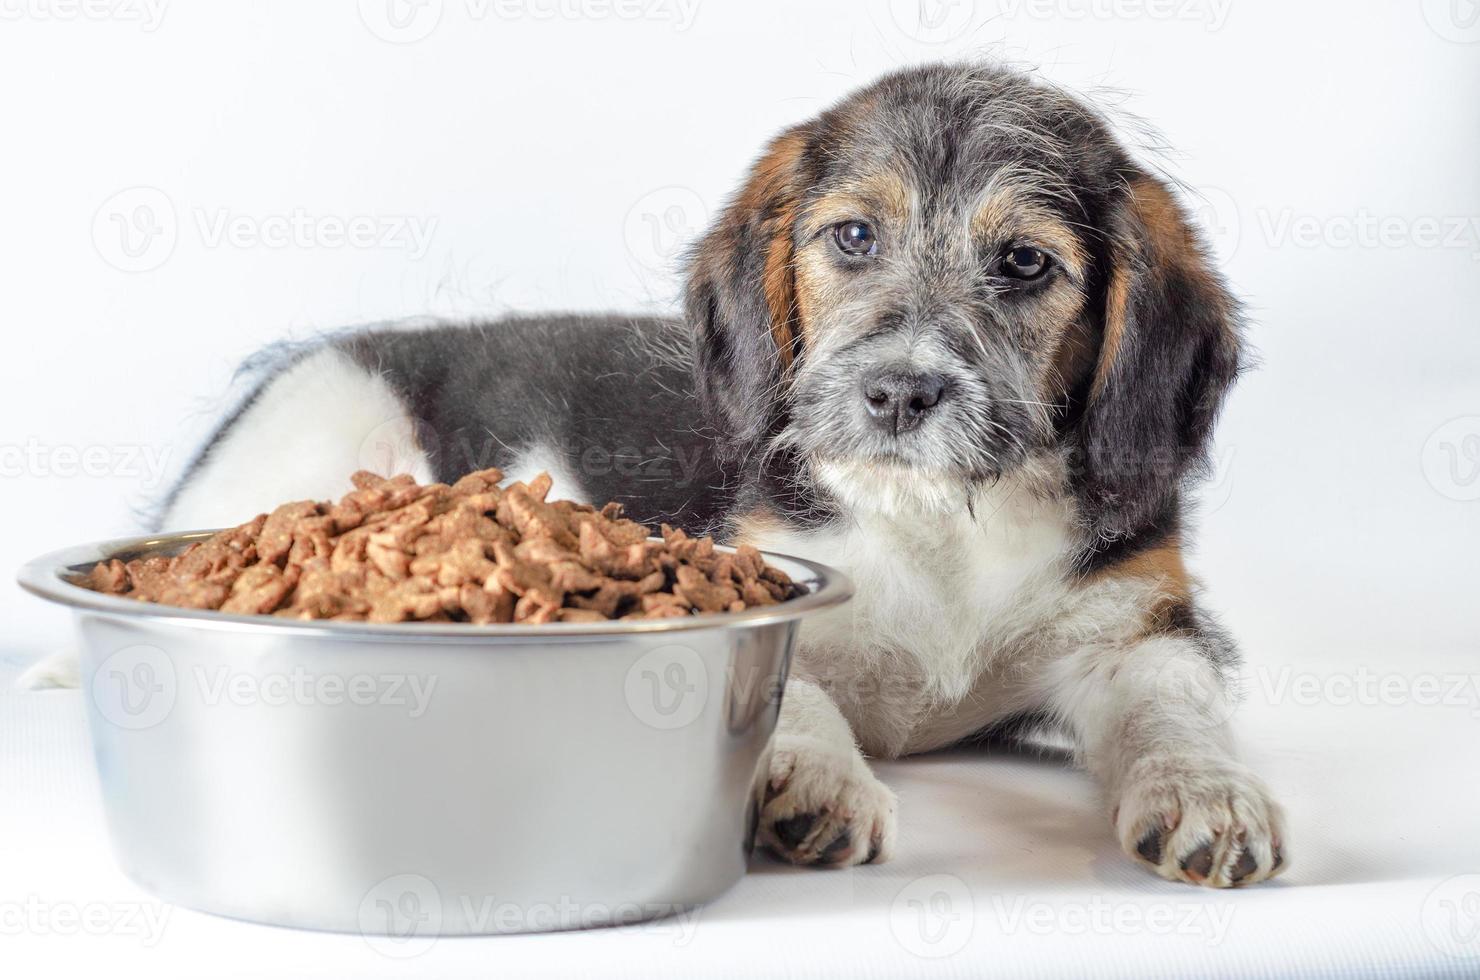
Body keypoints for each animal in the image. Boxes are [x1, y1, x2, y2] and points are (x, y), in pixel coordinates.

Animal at [153, 61, 1284, 888]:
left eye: (1024, 263)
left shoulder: (1135, 627)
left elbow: (1174, 705)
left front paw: (1210, 794)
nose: (898, 393)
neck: (940, 518)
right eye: (854, 235)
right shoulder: (771, 581)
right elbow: (801, 697)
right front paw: (823, 783)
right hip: (317, 430)